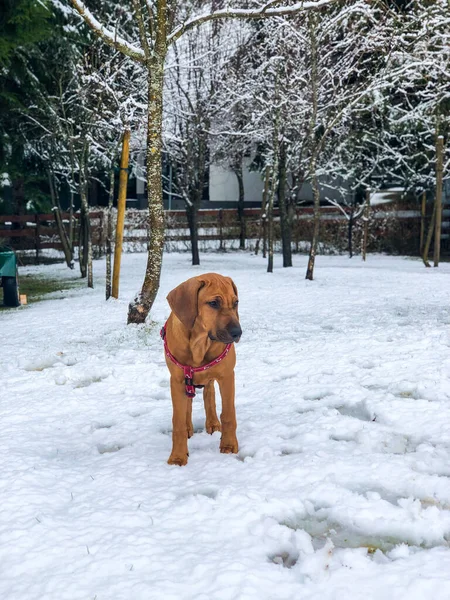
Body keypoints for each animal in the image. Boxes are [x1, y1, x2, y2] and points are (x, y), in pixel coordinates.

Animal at [161, 274, 239, 466]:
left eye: (236, 303)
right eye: (213, 303)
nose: (238, 333)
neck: (199, 342)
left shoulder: (227, 376)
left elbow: (229, 414)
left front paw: (228, 445)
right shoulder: (177, 380)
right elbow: (178, 422)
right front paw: (178, 457)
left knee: (209, 393)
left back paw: (213, 423)